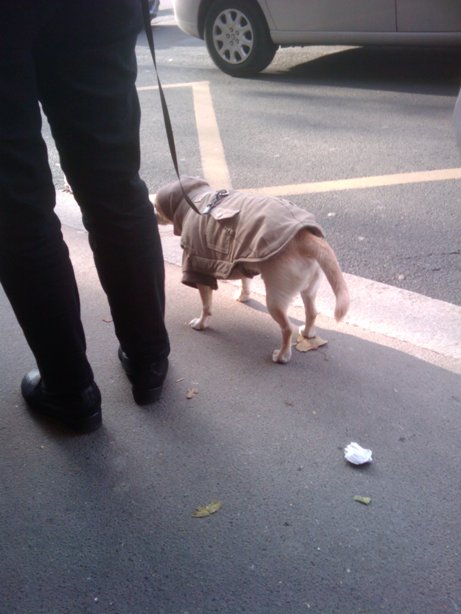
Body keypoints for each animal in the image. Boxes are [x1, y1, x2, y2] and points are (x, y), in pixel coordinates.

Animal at [155, 176, 348, 364]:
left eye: (156, 206)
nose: (153, 214)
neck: (198, 200)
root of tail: (304, 237)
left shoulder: (198, 269)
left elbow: (206, 306)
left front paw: (201, 323)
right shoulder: (242, 258)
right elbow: (245, 282)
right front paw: (244, 296)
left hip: (275, 300)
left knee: (287, 328)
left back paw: (282, 356)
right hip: (308, 289)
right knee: (312, 313)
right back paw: (307, 332)